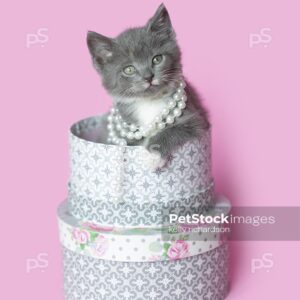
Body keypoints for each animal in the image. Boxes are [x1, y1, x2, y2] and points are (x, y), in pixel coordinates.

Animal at [86, 2, 209, 166]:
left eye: (157, 59)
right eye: (129, 69)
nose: (148, 77)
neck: (149, 101)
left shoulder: (196, 119)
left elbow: (176, 129)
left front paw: (153, 154)